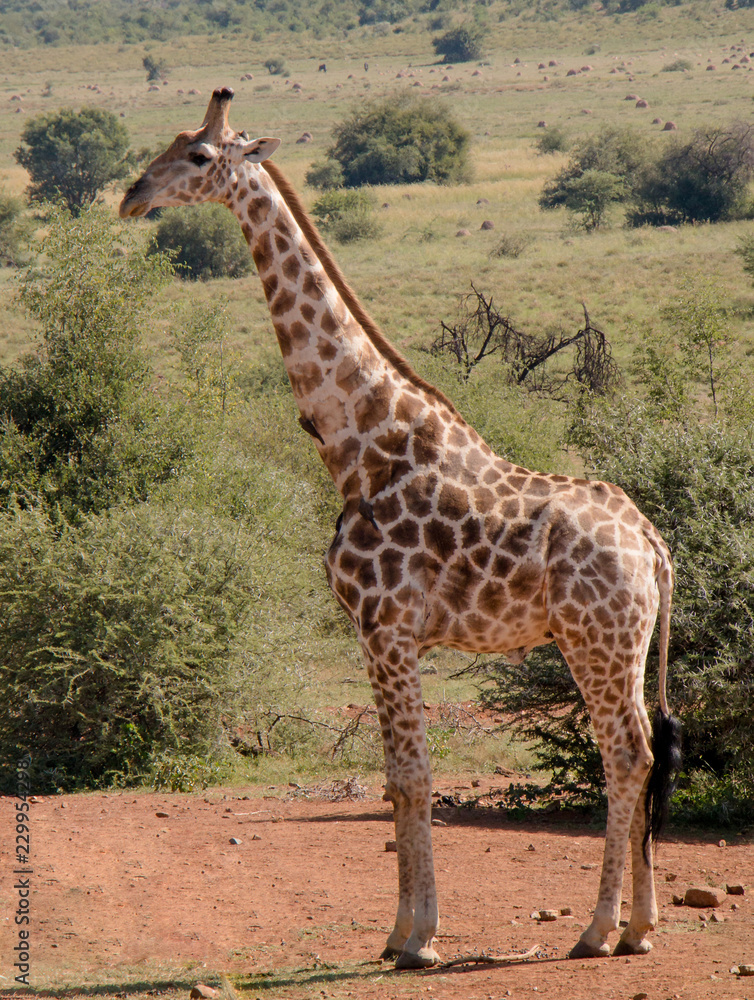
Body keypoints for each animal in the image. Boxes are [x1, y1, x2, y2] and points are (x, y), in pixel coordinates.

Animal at [120, 87, 681, 970]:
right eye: (169, 146)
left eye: (199, 157)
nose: (131, 196)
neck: (360, 445)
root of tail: (655, 547)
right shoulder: (384, 633)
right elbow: (396, 777)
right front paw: (399, 934)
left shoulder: (383, 625)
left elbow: (412, 776)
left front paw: (418, 940)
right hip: (619, 641)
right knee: (645, 752)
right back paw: (639, 927)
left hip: (596, 638)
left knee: (624, 753)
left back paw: (597, 930)